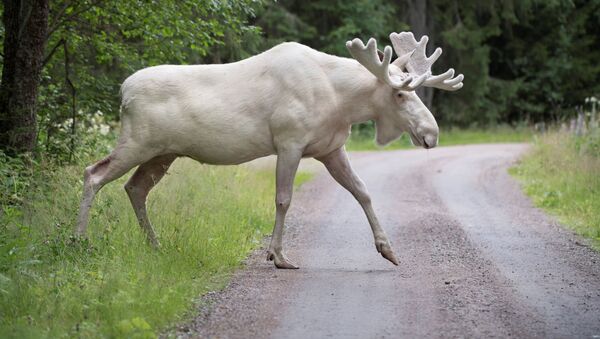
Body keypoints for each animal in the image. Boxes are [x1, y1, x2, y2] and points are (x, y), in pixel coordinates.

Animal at [76, 32, 464, 270]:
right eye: (399, 94)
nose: (431, 134)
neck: (341, 102)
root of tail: (123, 91)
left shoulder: (331, 148)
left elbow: (363, 192)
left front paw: (388, 250)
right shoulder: (289, 142)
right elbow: (283, 199)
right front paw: (278, 255)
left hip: (163, 153)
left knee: (135, 187)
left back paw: (155, 245)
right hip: (137, 142)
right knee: (93, 173)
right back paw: (79, 240)